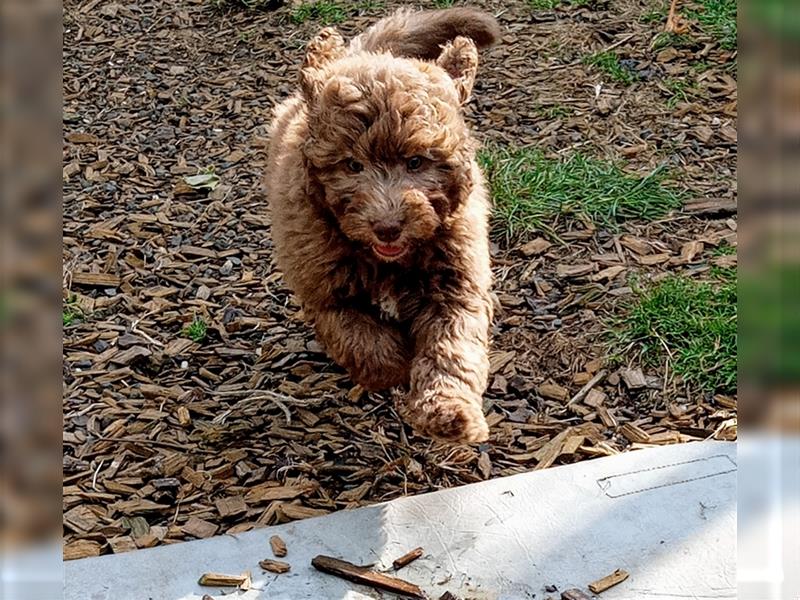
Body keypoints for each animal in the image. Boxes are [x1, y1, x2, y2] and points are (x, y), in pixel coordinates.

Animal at [266, 8, 496, 440]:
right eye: (353, 166)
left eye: (416, 163)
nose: (388, 227)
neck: (388, 261)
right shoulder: (326, 289)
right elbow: (362, 341)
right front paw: (396, 369)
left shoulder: (456, 284)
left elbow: (452, 348)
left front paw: (449, 411)